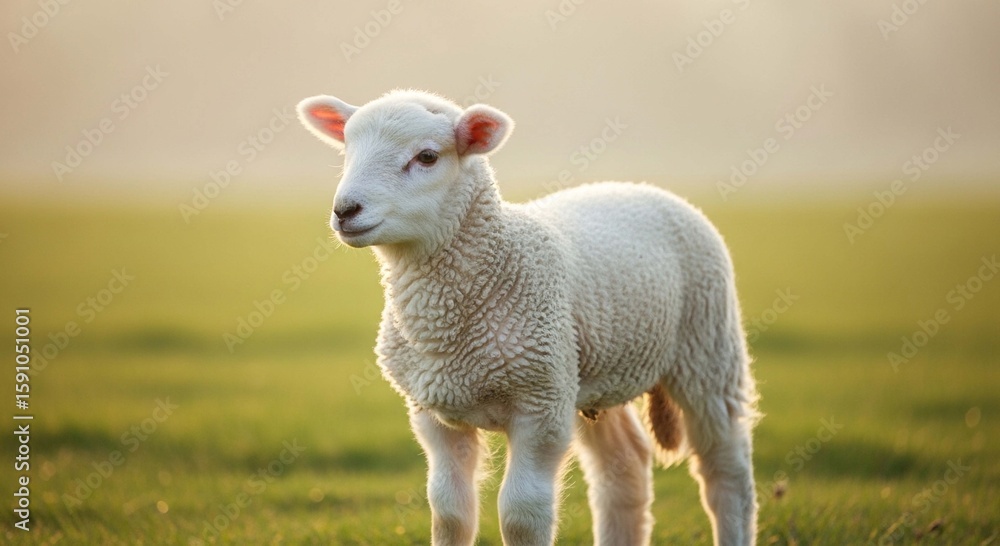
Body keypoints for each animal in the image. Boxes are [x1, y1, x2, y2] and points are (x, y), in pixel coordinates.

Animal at [296, 89, 760, 546]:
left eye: (426, 156)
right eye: (347, 150)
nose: (345, 210)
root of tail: (639, 186)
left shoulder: (541, 408)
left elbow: (521, 515)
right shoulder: (433, 414)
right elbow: (450, 514)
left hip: (707, 348)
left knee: (726, 473)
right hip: (593, 372)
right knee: (624, 467)